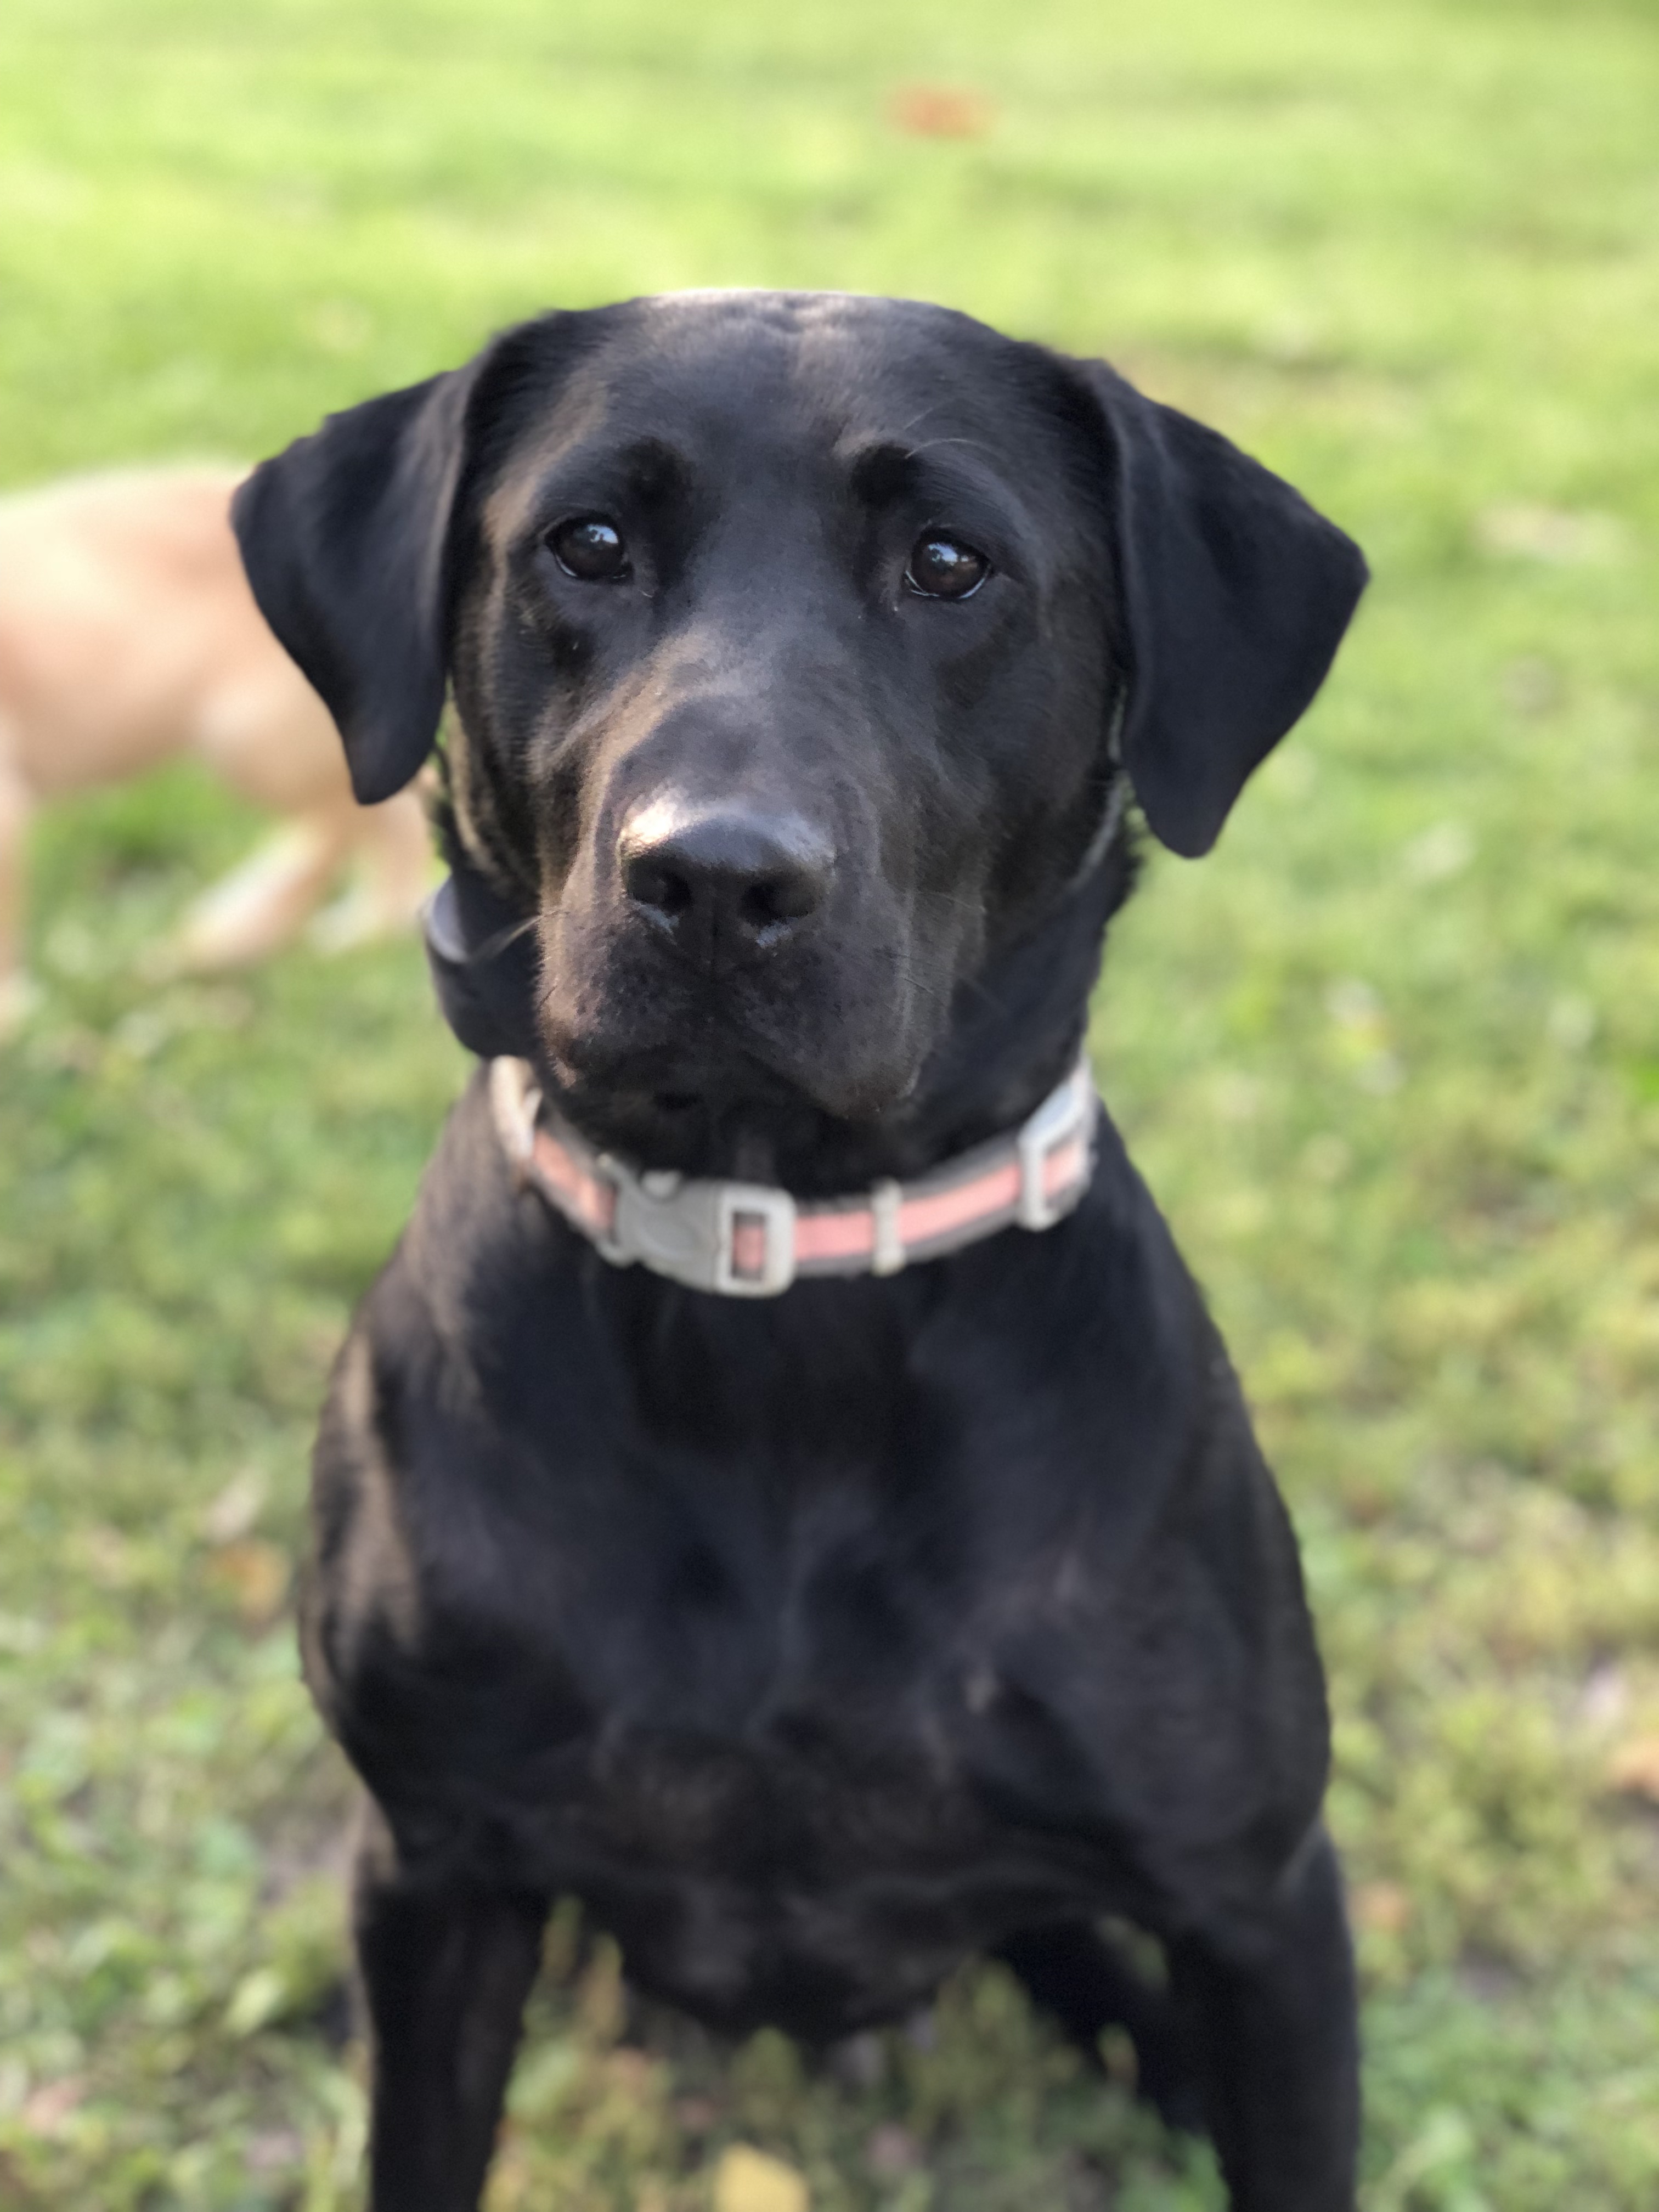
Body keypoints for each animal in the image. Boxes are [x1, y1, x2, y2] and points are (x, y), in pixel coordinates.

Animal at [236, 294, 1380, 2212]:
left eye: (950, 563)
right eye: (588, 544)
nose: (712, 878)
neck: (777, 1297)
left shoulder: (1260, 1899)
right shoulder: (442, 1869)